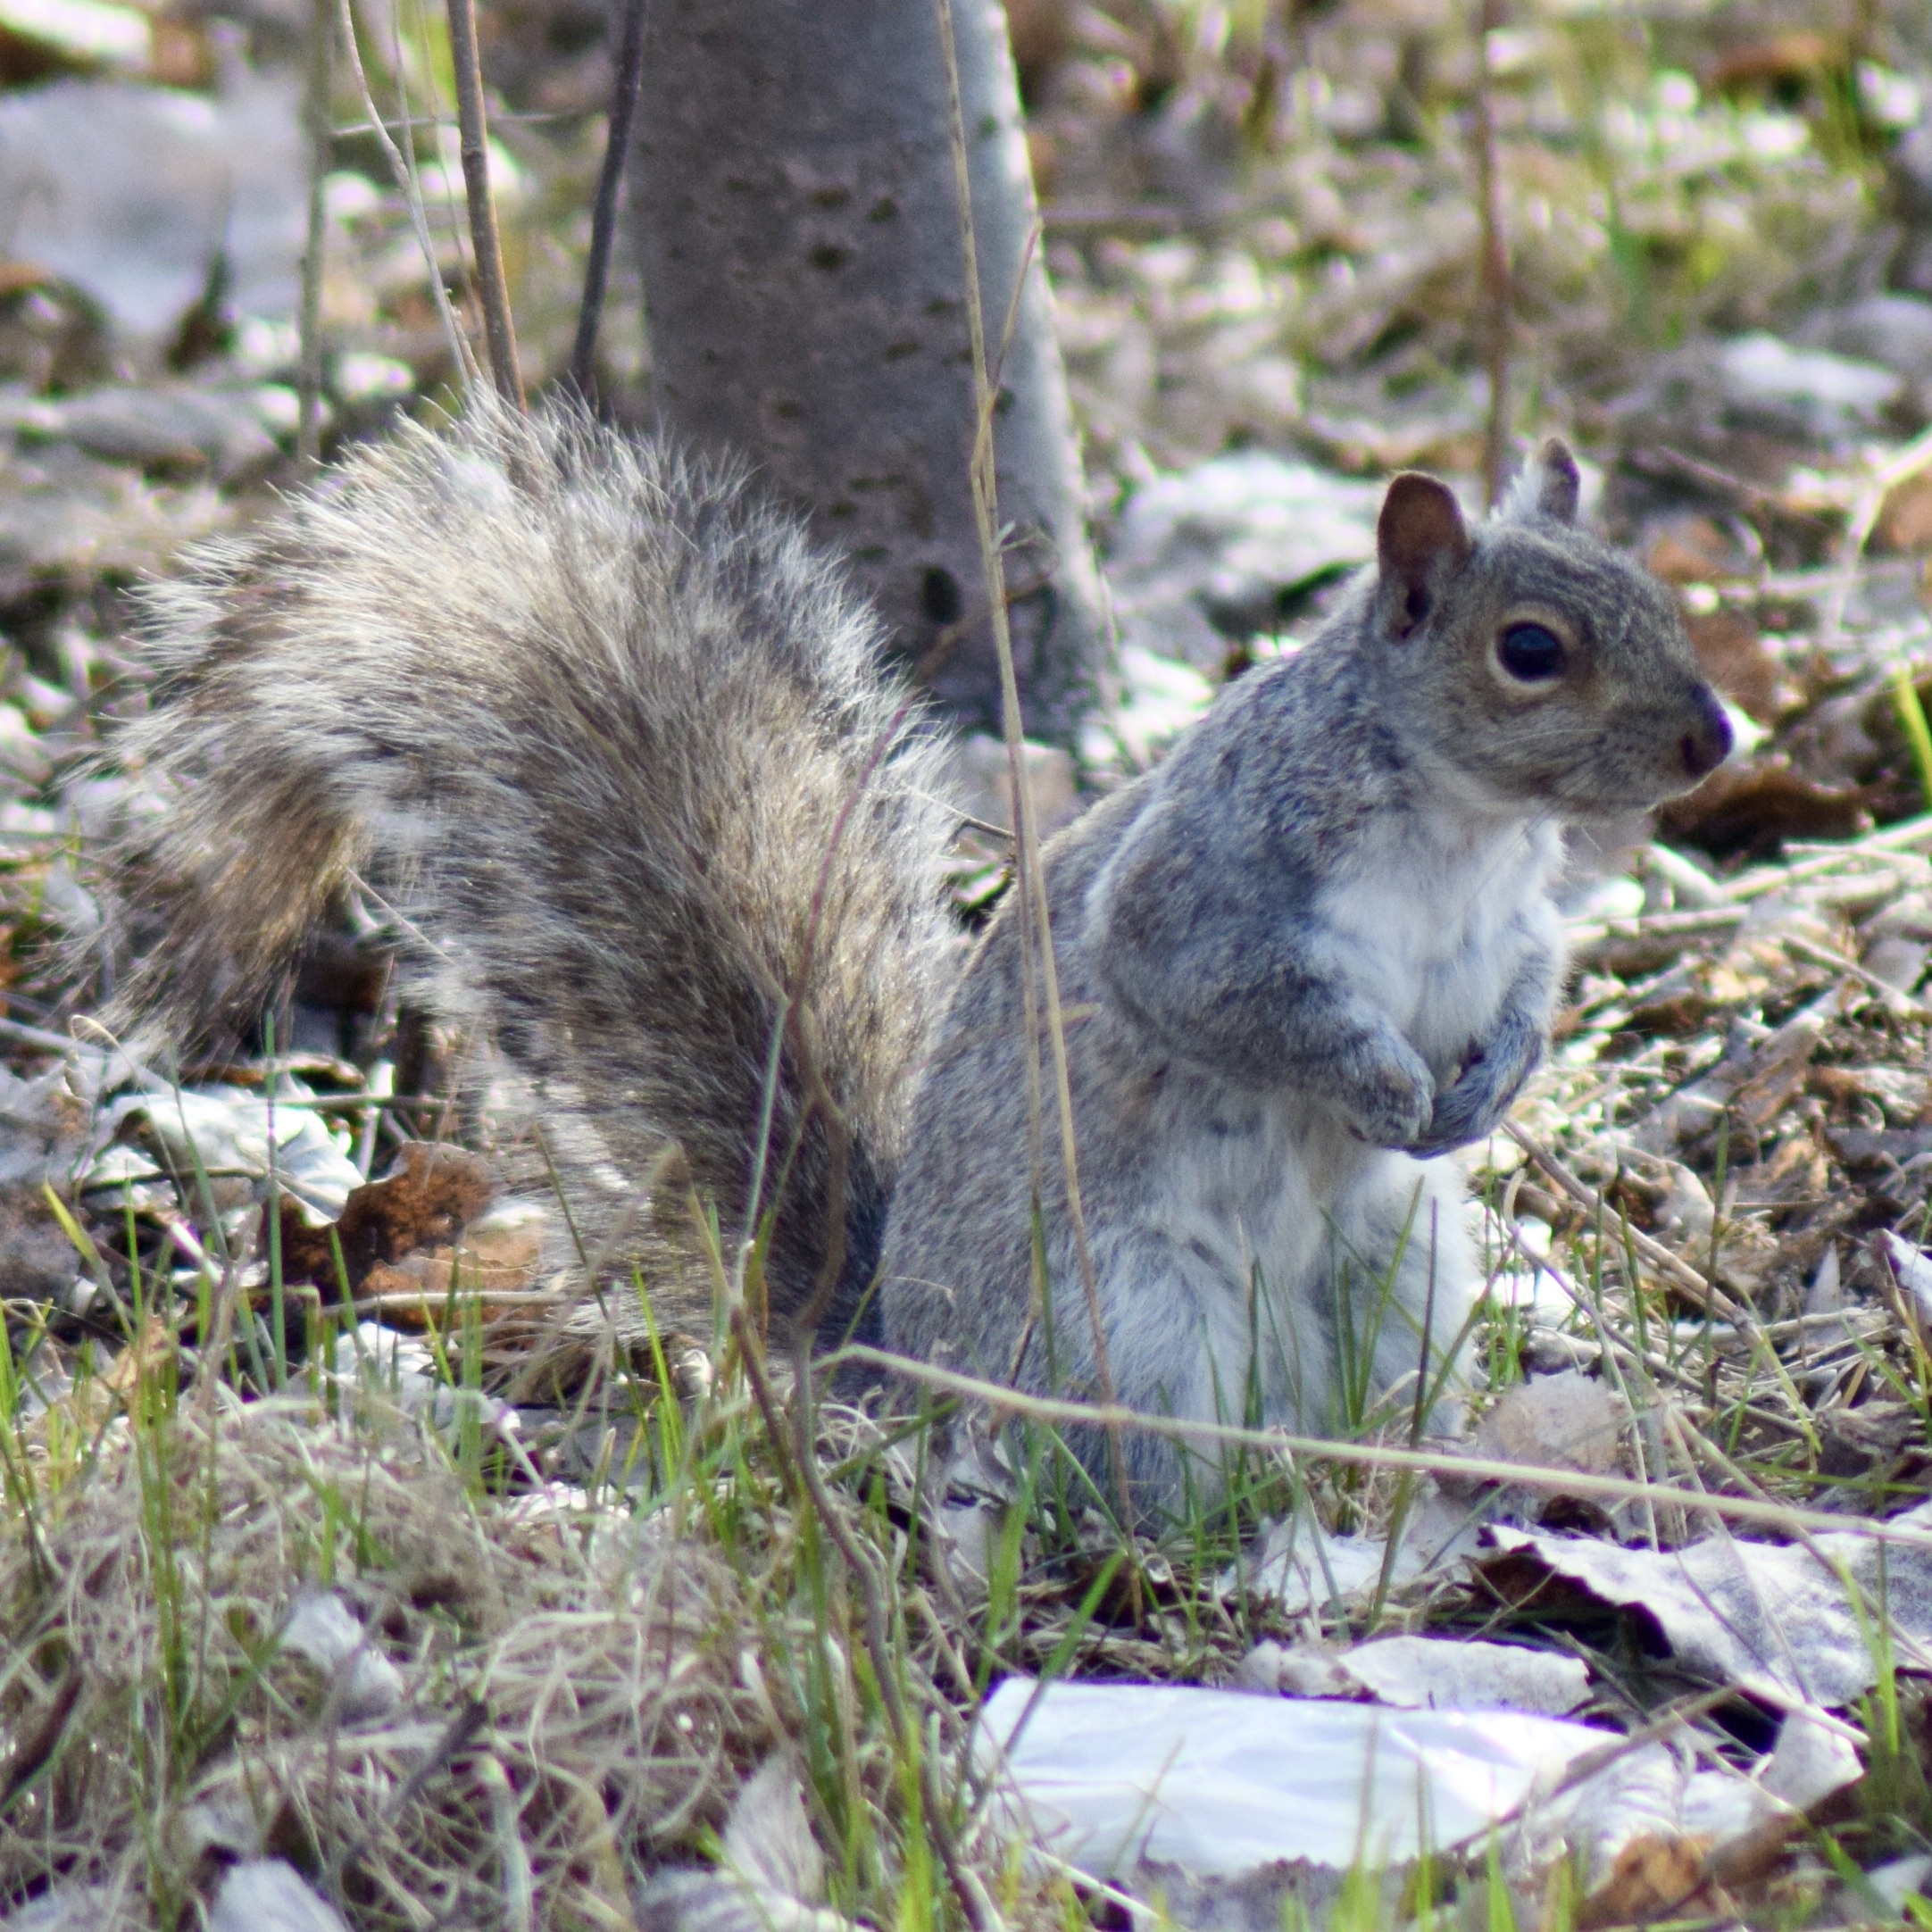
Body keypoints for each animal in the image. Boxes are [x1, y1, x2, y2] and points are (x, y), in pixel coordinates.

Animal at [109, 403, 1729, 1509]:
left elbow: (1528, 992)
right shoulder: (1209, 886)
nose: (1713, 741)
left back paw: (1399, 1460)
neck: (1462, 823)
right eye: (1530, 650)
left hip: (1396, 1278)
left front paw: (1487, 1083)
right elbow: (1223, 992)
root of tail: (905, 1354)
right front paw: (1379, 1084)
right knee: (1129, 1471)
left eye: (1659, 597)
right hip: (1126, 1319)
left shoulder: (1513, 923)